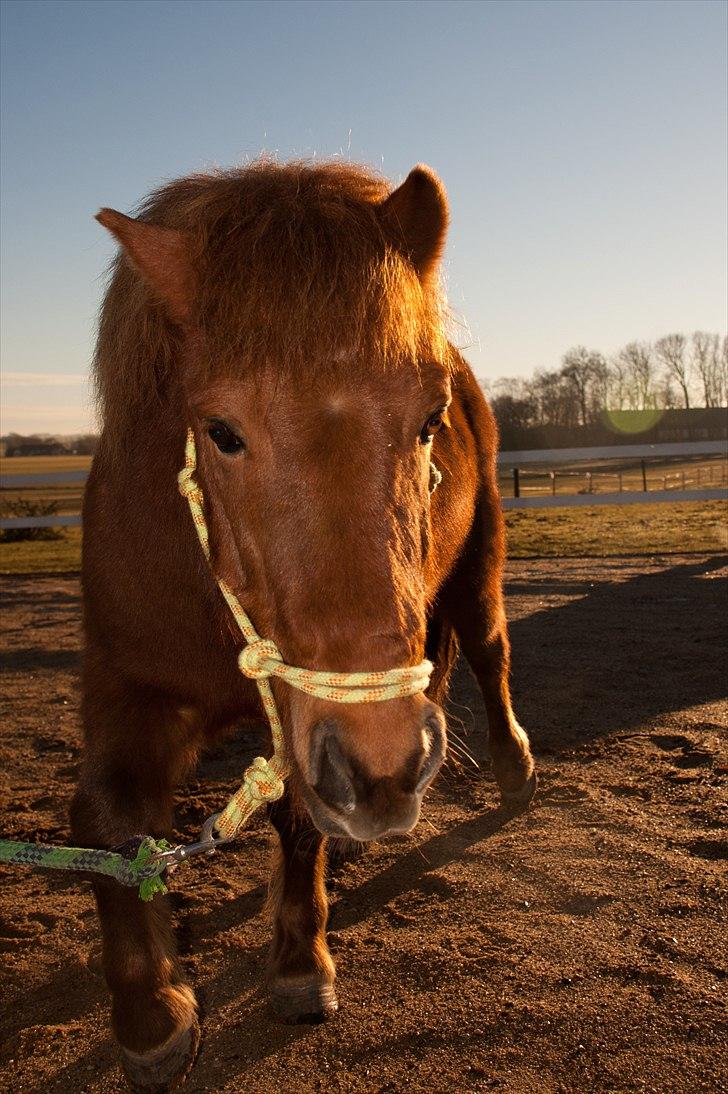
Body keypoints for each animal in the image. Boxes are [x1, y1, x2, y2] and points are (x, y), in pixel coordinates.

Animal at [71, 158, 536, 1089]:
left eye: (428, 422)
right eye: (221, 432)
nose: (386, 765)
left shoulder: (309, 733)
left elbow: (295, 814)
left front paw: (297, 963)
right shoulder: (125, 683)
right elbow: (104, 819)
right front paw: (152, 1014)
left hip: (479, 566)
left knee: (491, 651)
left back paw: (511, 768)